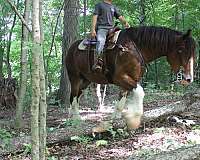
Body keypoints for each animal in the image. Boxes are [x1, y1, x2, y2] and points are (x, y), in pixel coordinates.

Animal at [65, 26, 195, 131]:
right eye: (180, 50)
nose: (188, 78)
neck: (132, 48)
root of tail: (71, 48)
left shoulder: (129, 81)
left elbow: (121, 102)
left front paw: (115, 119)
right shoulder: (119, 78)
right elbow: (139, 92)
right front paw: (134, 120)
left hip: (86, 80)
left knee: (76, 96)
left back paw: (71, 117)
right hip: (75, 78)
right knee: (73, 96)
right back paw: (76, 119)